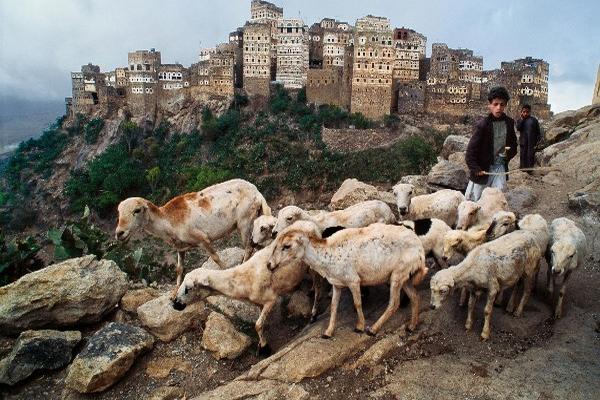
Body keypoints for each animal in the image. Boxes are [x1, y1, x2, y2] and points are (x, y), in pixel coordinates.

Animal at [116, 180, 270, 290]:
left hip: (245, 222)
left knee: (249, 248)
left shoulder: (203, 239)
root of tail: (257, 192)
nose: (119, 233)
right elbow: (179, 269)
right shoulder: (180, 247)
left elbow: (216, 258)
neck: (168, 221)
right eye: (119, 212)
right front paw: (176, 289)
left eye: (137, 210)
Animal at [268, 222, 426, 338]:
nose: (269, 265)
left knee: (394, 303)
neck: (327, 254)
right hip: (405, 277)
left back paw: (373, 329)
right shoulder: (337, 284)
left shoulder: (353, 281)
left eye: (286, 246)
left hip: (397, 275)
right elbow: (333, 306)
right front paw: (328, 332)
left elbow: (357, 303)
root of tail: (420, 250)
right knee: (415, 297)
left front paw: (359, 327)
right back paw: (411, 326)